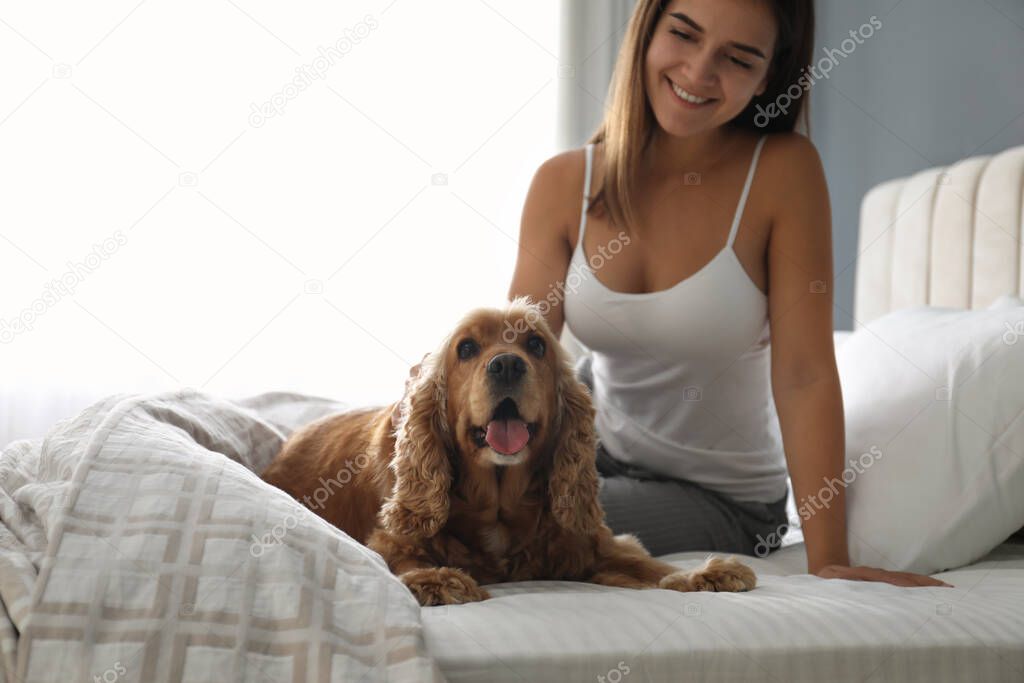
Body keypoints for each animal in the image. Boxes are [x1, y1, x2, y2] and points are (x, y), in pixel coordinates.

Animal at [260, 296, 757, 606]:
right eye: (466, 348)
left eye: (536, 344)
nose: (506, 364)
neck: (497, 498)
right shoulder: (391, 537)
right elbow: (400, 557)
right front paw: (436, 579)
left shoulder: (587, 545)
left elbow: (643, 562)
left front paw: (704, 573)